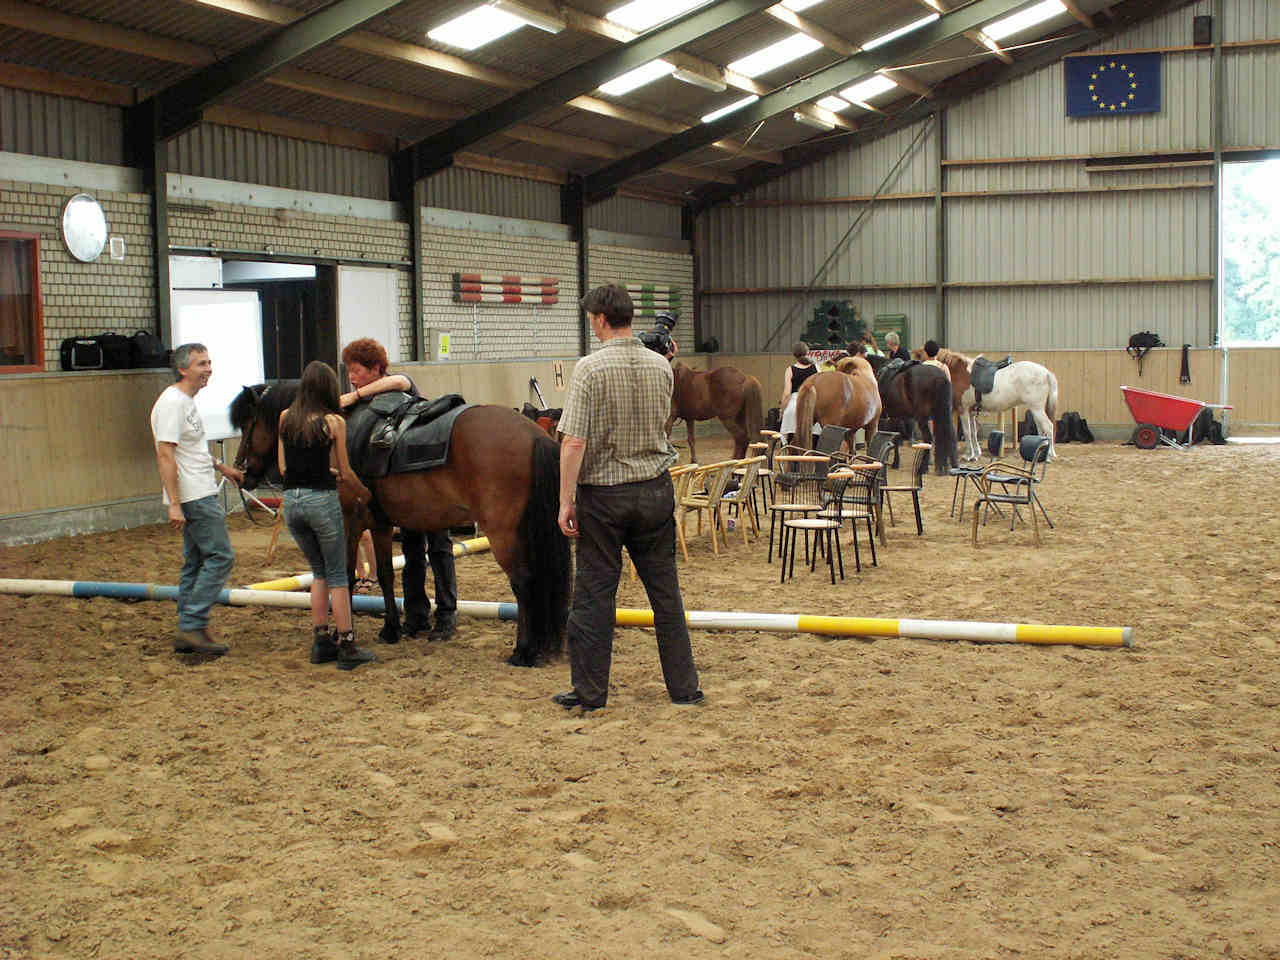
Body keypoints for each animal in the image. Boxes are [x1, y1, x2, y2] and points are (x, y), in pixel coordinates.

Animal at [230, 384, 570, 670]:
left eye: (250, 424)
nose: (240, 471)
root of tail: (534, 435)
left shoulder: (347, 523)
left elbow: (347, 579)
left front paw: (343, 638)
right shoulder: (379, 526)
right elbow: (384, 575)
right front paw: (390, 628)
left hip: (503, 533)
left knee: (523, 583)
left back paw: (523, 651)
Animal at [931, 350, 1059, 463]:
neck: (960, 372)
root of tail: (1046, 373)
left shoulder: (963, 409)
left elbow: (967, 432)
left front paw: (968, 455)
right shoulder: (971, 411)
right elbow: (973, 432)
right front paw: (976, 454)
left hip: (1037, 408)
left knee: (1048, 427)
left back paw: (1050, 455)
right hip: (1035, 409)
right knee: (1041, 429)